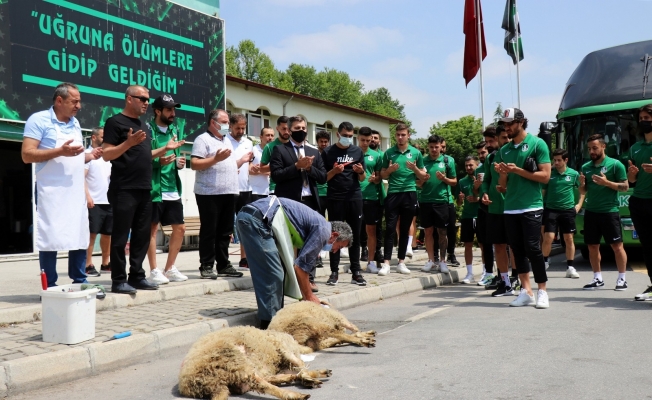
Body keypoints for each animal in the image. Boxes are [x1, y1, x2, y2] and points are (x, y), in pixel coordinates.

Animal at [178, 326, 332, 400]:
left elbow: (300, 368)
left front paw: (314, 375)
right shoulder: (282, 348)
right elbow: (301, 365)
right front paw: (310, 379)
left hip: (236, 372)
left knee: (263, 381)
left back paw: (291, 380)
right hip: (234, 361)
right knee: (262, 384)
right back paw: (295, 395)